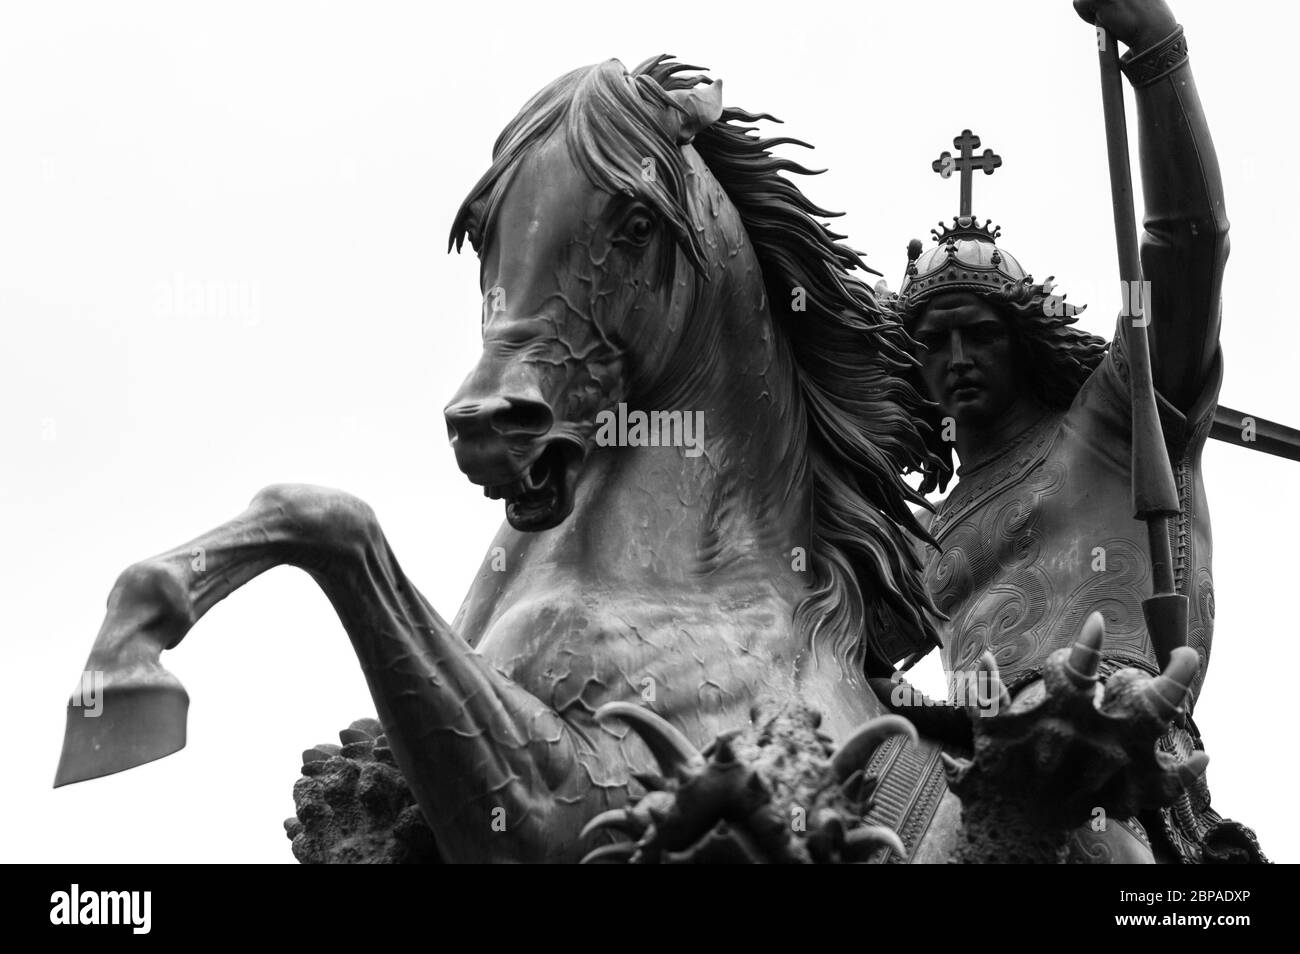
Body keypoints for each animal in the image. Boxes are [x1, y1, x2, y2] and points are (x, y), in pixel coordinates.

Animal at [55, 55, 961, 863]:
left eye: (637, 223)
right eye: (484, 228)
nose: (489, 424)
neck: (697, 582)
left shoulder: (593, 798)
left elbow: (334, 521)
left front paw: (125, 674)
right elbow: (314, 512)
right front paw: (127, 647)